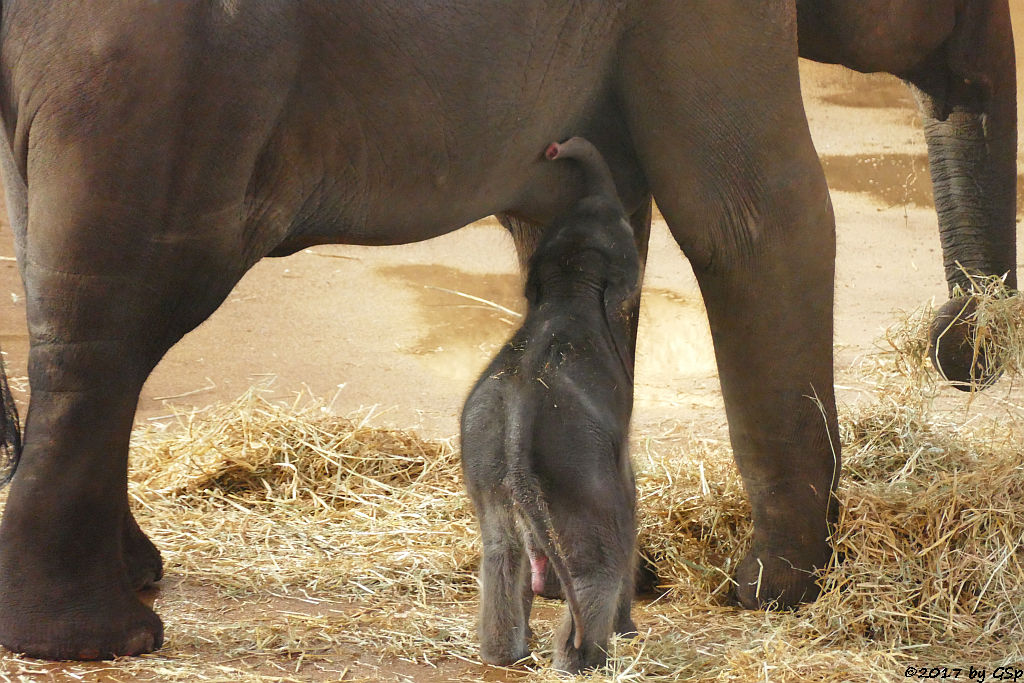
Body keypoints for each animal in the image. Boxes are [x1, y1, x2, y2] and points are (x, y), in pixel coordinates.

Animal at [458, 135, 634, 671]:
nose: (559, 147)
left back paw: (502, 656)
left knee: (500, 546)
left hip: (485, 451)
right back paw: (584, 658)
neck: (569, 285)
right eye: (625, 227)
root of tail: (518, 430)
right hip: (576, 466)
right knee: (598, 559)